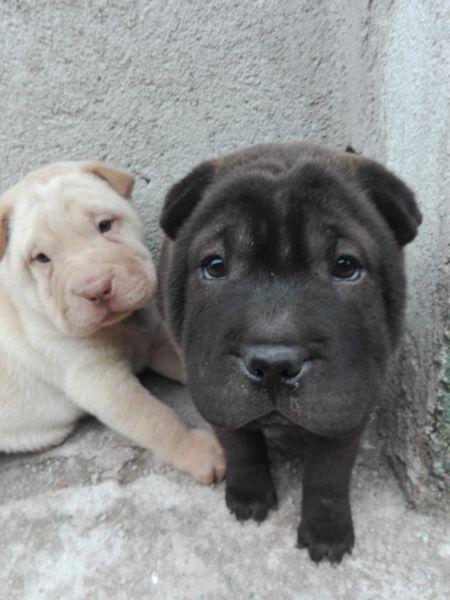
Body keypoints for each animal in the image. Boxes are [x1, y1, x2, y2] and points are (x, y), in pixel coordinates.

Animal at [0, 162, 225, 486]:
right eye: (41, 258)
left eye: (105, 225)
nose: (97, 289)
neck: (122, 325)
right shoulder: (99, 380)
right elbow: (155, 418)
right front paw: (199, 451)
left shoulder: (155, 340)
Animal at [158, 143, 422, 564]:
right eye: (215, 266)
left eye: (345, 266)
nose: (273, 364)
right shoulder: (216, 392)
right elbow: (240, 445)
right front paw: (249, 496)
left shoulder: (351, 401)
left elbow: (328, 473)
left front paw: (327, 532)